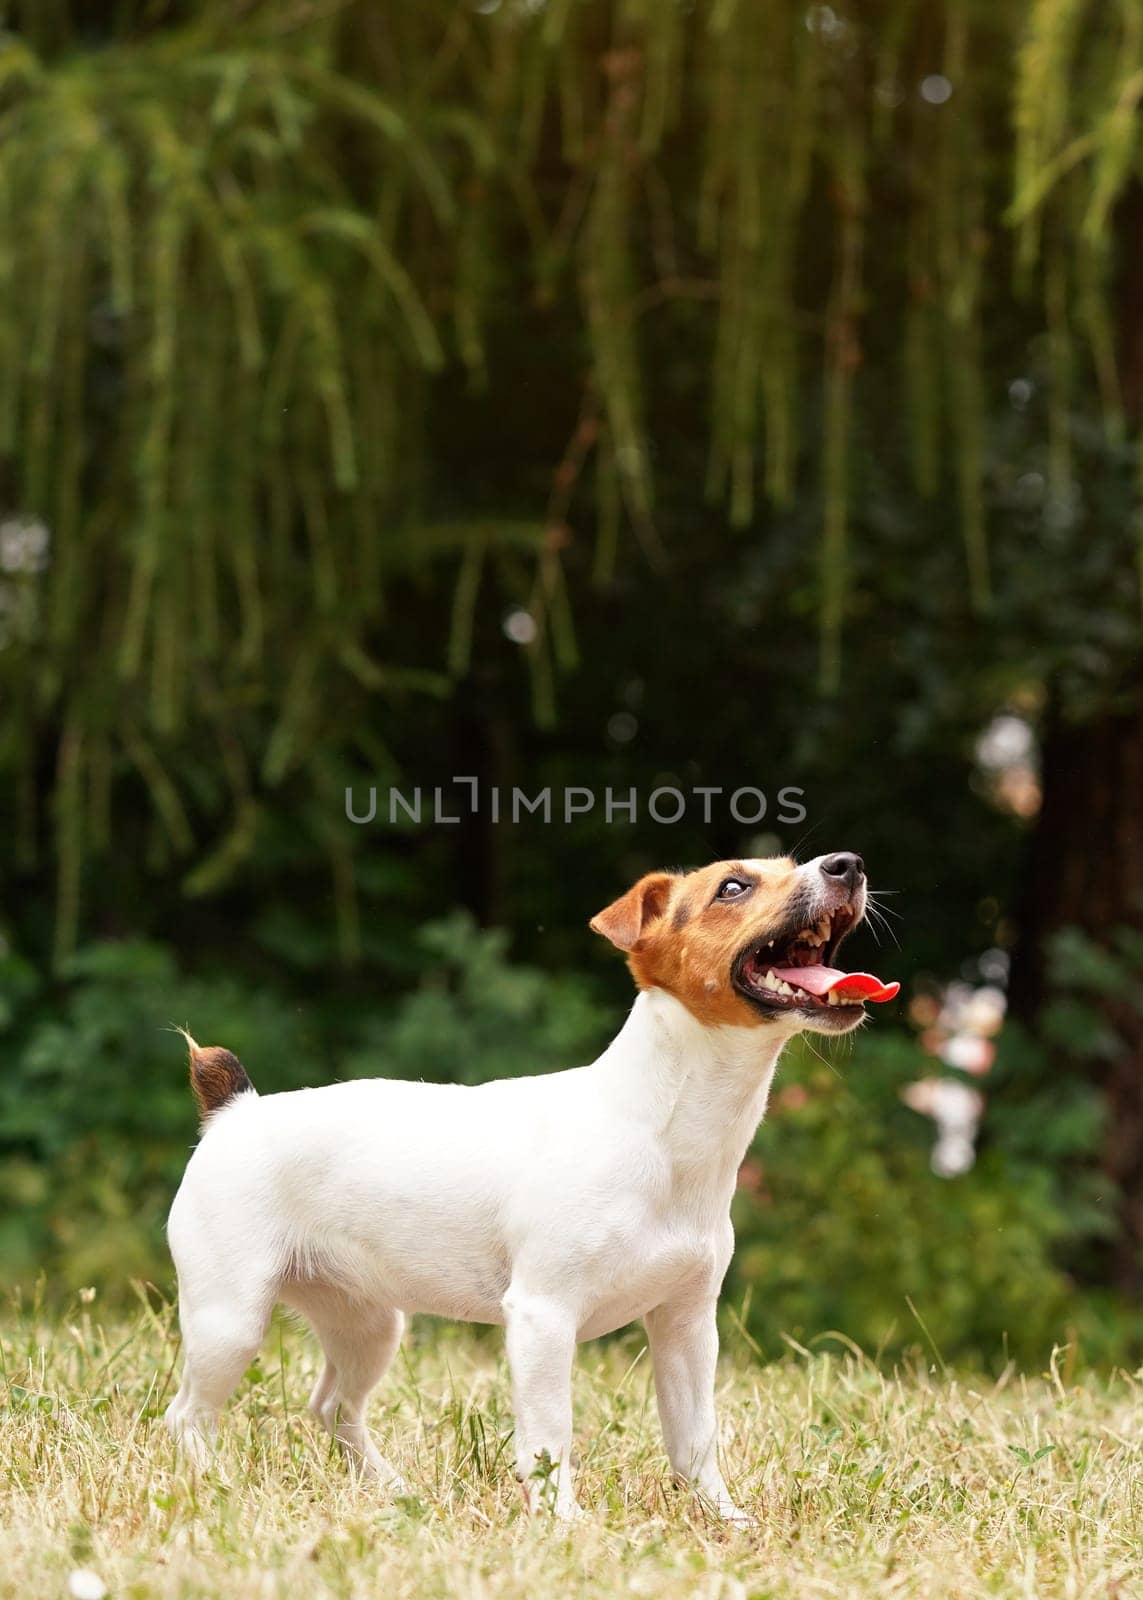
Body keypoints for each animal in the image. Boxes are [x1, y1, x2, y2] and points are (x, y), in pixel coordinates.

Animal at [164, 851, 896, 1510]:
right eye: (733, 887)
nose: (848, 864)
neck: (660, 1127)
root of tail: (235, 1109)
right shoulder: (543, 1316)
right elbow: (549, 1439)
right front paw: (563, 1523)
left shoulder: (686, 1325)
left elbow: (694, 1439)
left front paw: (723, 1518)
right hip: (230, 1318)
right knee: (188, 1415)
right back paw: (217, 1485)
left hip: (368, 1322)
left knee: (332, 1406)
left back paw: (391, 1491)